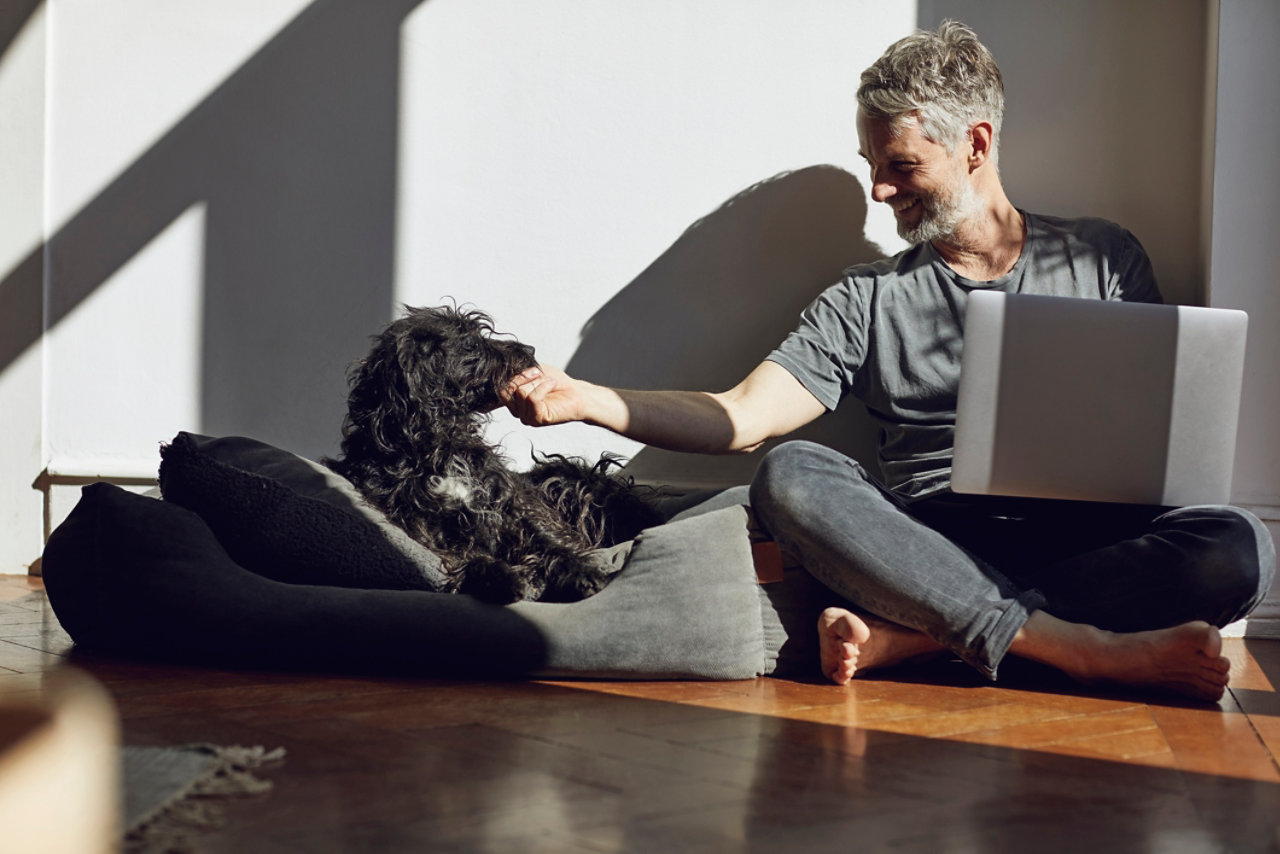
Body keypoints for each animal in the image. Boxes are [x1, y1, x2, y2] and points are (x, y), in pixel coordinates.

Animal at [325, 303, 665, 604]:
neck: (438, 441)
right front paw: (497, 577)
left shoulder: (514, 500)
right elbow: (465, 557)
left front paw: (578, 569)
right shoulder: (425, 525)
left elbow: (548, 536)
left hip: (564, 478)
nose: (530, 350)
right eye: (471, 343)